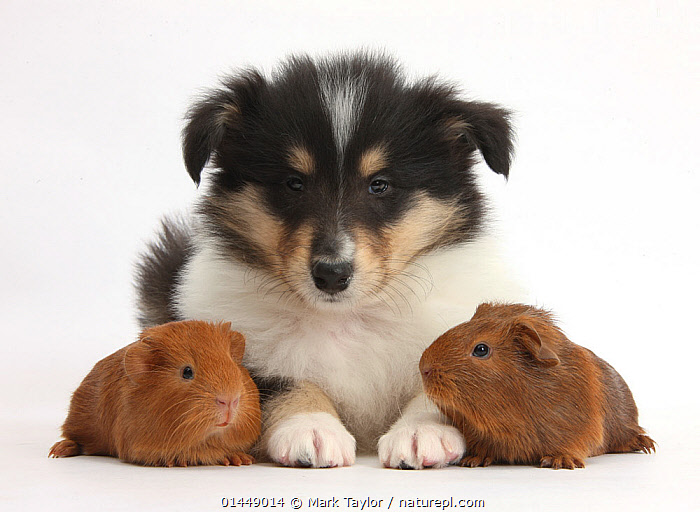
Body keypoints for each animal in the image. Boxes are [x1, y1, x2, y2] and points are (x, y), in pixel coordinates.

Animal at [135, 52, 524, 468]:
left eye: (380, 184)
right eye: (293, 183)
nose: (332, 274)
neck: (346, 317)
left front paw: (420, 433)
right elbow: (281, 384)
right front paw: (311, 428)